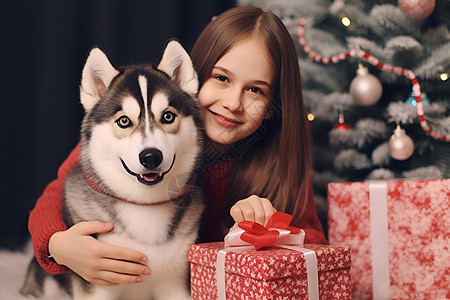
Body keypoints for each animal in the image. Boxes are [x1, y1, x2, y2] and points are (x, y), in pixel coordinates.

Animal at [21, 40, 204, 300]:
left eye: (168, 116)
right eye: (124, 121)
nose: (151, 157)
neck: (143, 206)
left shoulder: (176, 285)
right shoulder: (95, 286)